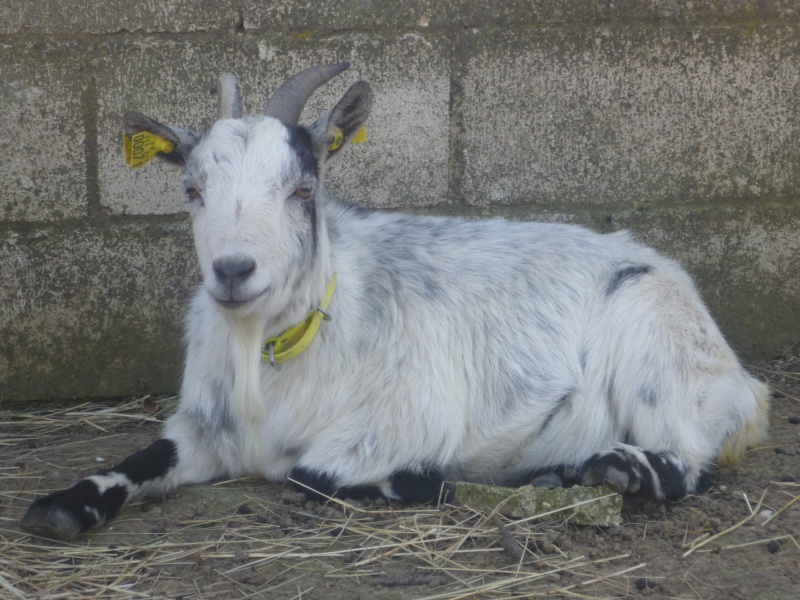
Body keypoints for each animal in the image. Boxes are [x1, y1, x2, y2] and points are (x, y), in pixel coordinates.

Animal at [18, 63, 768, 540]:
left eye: (303, 188)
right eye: (192, 190)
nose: (233, 270)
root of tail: (743, 382)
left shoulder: (406, 420)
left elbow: (310, 476)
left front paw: (455, 482)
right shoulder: (202, 428)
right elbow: (135, 462)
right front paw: (60, 508)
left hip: (656, 349)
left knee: (686, 463)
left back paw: (601, 469)